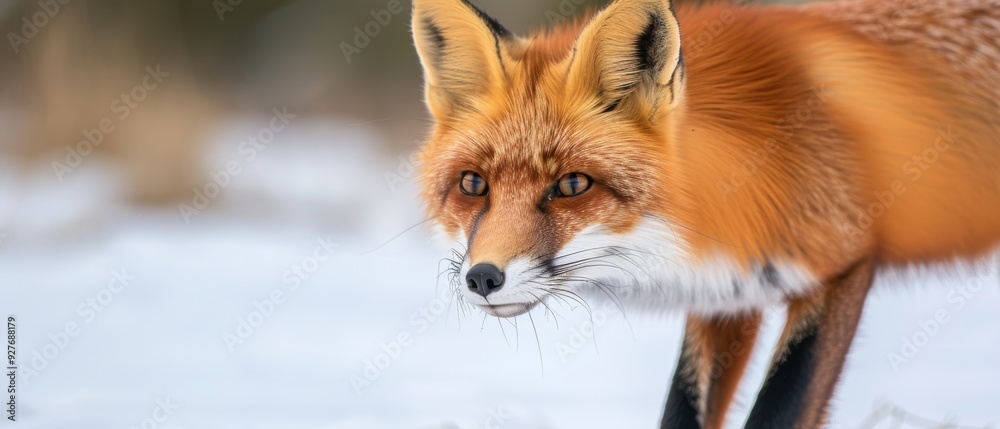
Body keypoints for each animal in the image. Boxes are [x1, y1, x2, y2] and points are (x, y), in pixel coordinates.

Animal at [410, 0, 1000, 427]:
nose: (483, 278)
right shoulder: (727, 295)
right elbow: (683, 409)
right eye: (473, 185)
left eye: (572, 185)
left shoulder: (842, 267)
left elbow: (779, 411)